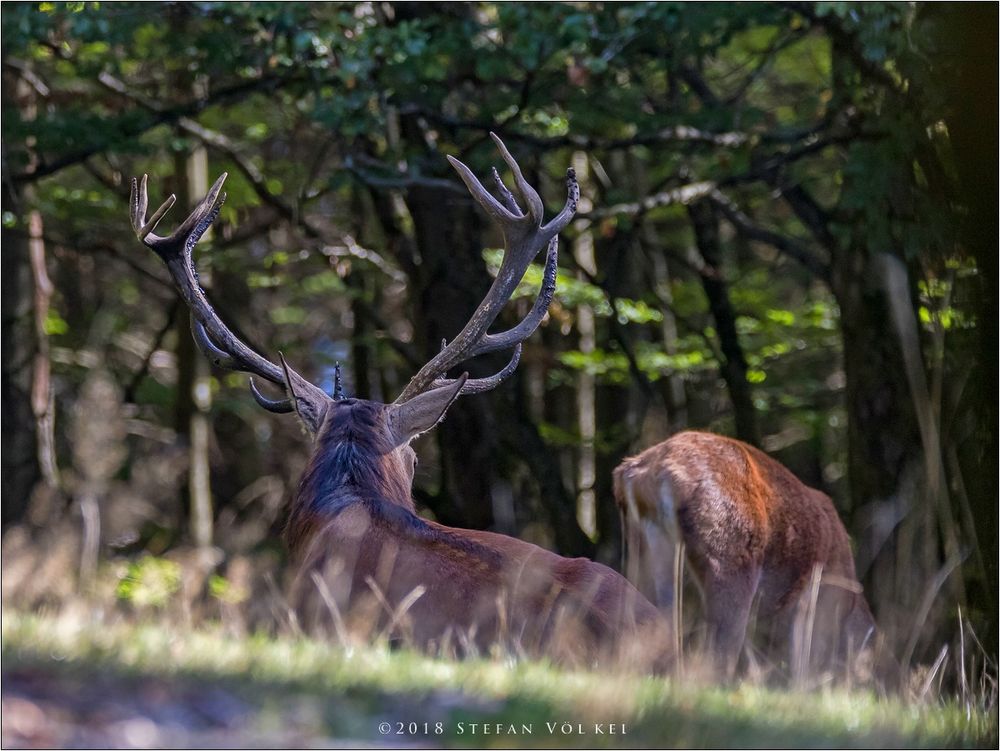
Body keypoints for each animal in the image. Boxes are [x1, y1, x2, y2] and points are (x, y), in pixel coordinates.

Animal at [612, 428, 880, 680]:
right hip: (730, 558)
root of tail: (654, 471)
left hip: (644, 549)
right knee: (719, 645)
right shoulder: (818, 602)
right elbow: (802, 665)